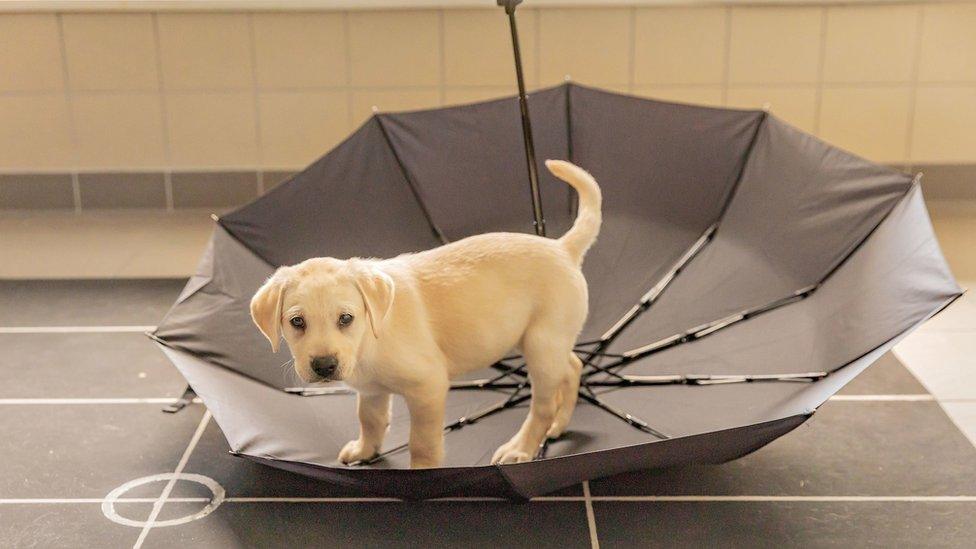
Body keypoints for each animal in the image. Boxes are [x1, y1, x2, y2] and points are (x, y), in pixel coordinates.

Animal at [250, 159, 604, 466]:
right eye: (296, 322)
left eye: (346, 319)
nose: (324, 366)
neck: (369, 341)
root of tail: (561, 248)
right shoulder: (372, 391)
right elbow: (369, 419)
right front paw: (364, 449)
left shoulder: (428, 387)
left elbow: (422, 442)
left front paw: (423, 473)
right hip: (543, 342)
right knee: (572, 367)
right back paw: (558, 425)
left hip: (541, 345)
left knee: (542, 404)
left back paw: (521, 447)